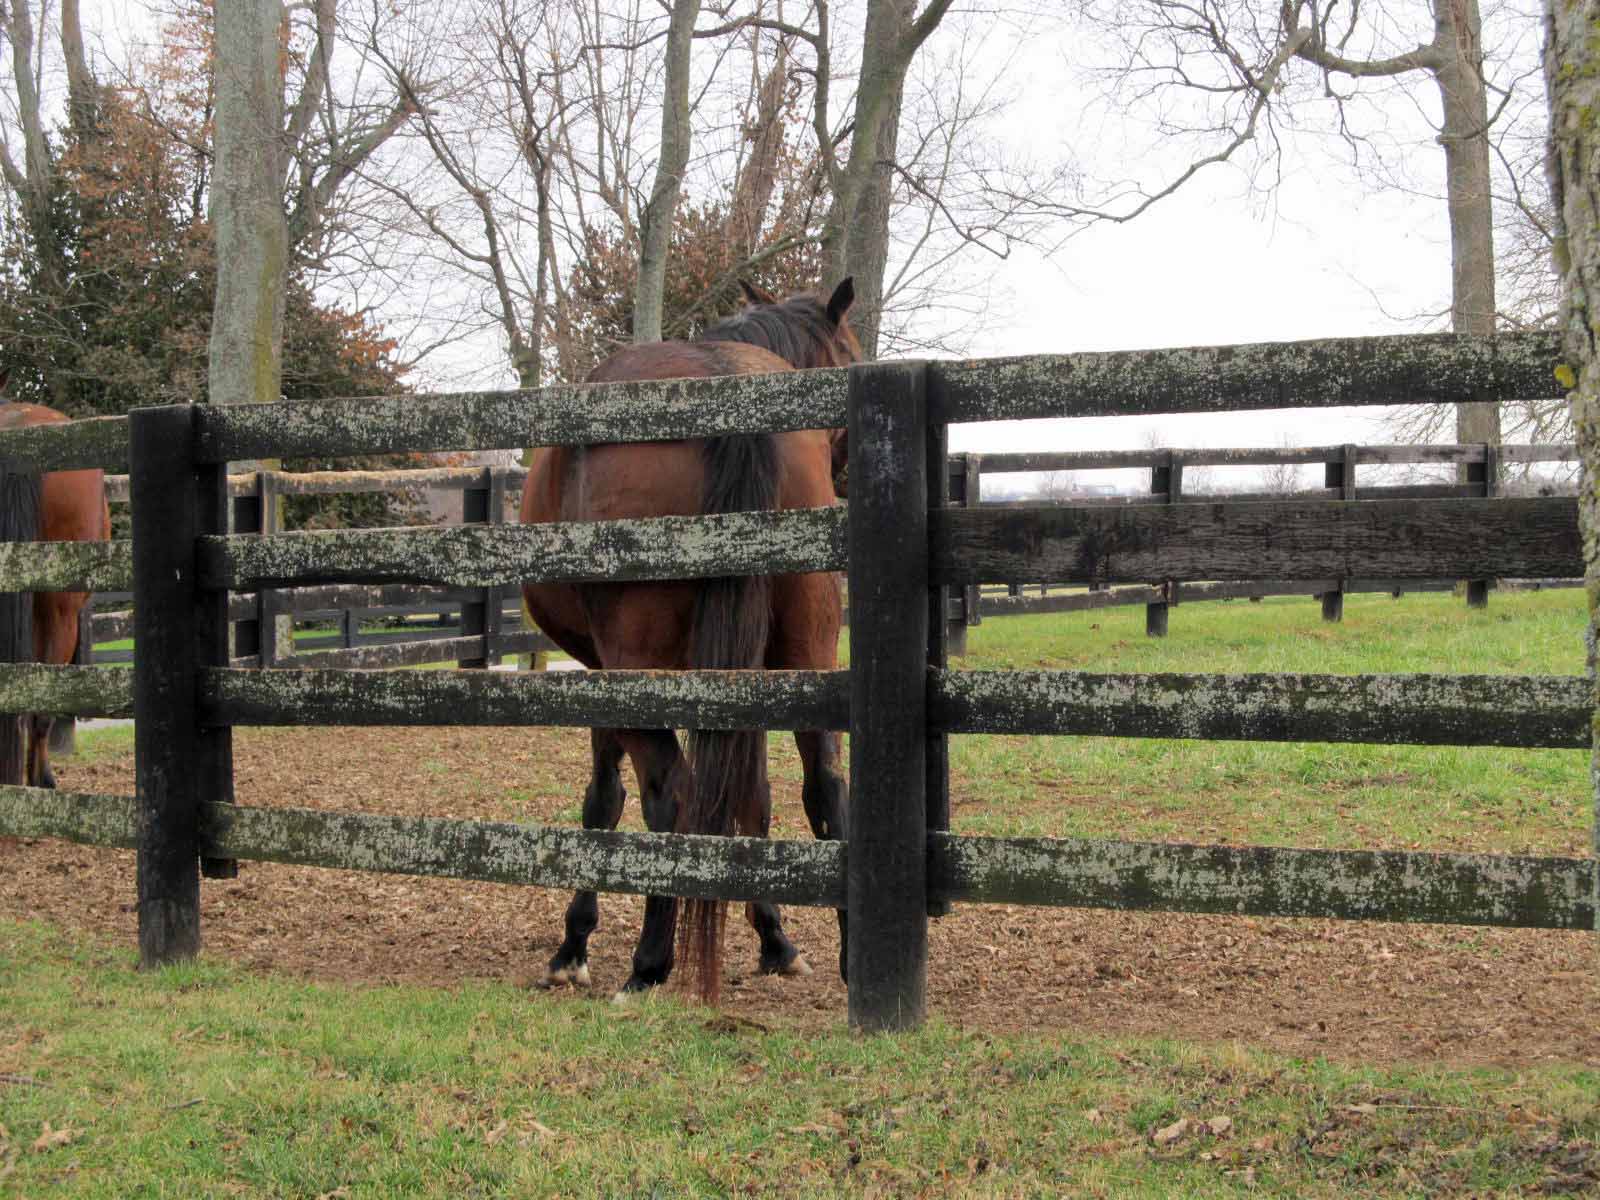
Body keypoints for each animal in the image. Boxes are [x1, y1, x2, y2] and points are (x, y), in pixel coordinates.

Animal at [520, 278, 859, 1003]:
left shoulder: (603, 674)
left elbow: (605, 801)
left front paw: (573, 946)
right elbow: (752, 801)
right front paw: (775, 940)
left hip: (637, 673)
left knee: (670, 796)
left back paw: (650, 961)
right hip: (805, 653)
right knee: (825, 785)